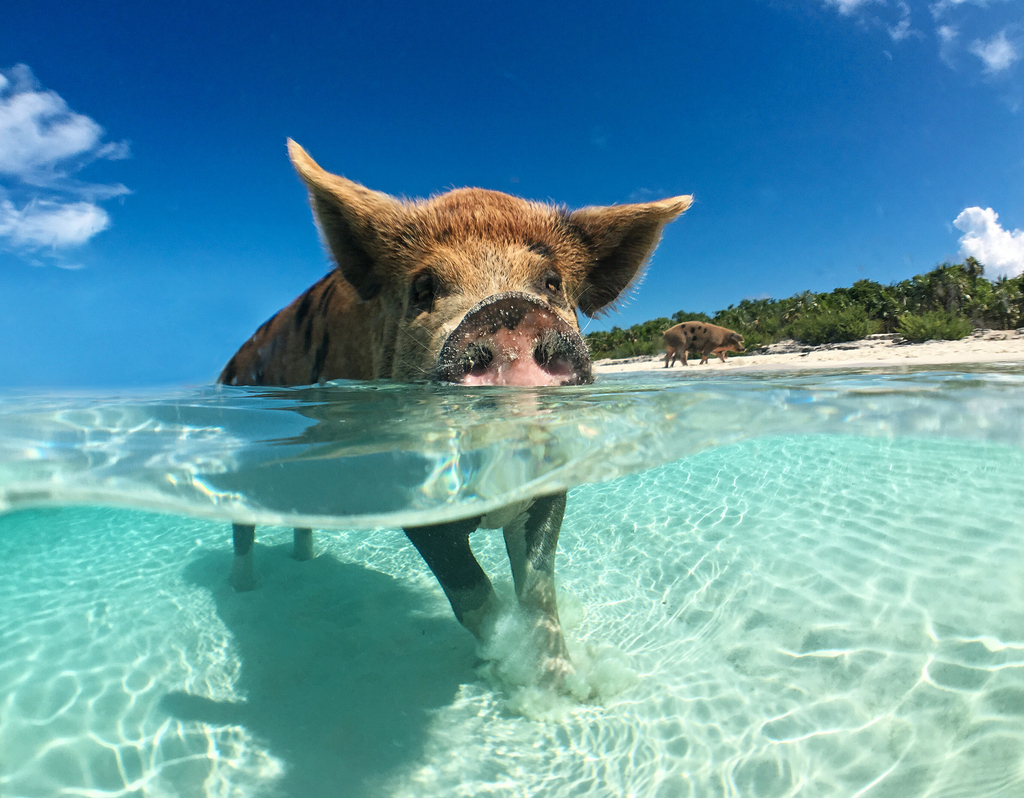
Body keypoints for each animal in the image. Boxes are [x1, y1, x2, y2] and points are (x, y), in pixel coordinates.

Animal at [218, 140, 692, 683]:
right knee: (242, 526)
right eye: (423, 287)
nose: (508, 311)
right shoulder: (407, 490)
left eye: (552, 283)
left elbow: (538, 590)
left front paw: (565, 686)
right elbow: (472, 594)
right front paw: (504, 671)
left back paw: (303, 564)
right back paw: (243, 589)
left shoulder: (551, 481)